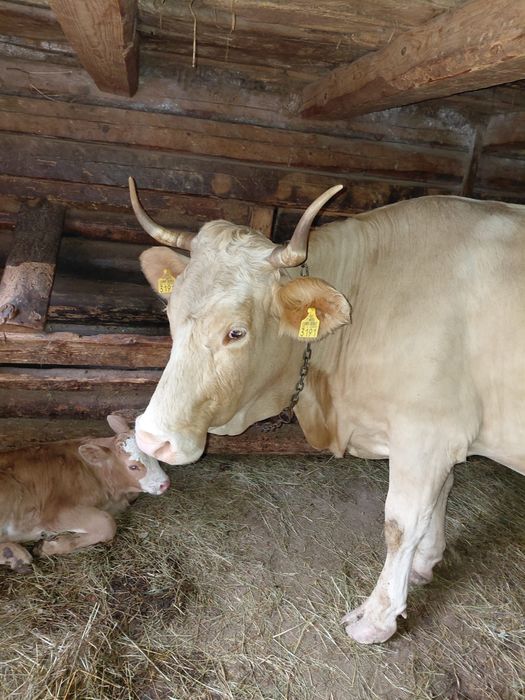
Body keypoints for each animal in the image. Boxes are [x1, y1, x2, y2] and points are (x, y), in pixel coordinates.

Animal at [0, 414, 170, 573]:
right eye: (133, 467)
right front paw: (48, 547)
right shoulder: (55, 513)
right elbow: (107, 523)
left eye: (154, 457)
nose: (165, 483)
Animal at [128, 177, 525, 644]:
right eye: (169, 312)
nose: (151, 437)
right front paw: (425, 563)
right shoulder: (440, 441)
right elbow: (442, 495)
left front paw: (377, 618)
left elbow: (401, 523)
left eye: (236, 332)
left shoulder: (426, 432)